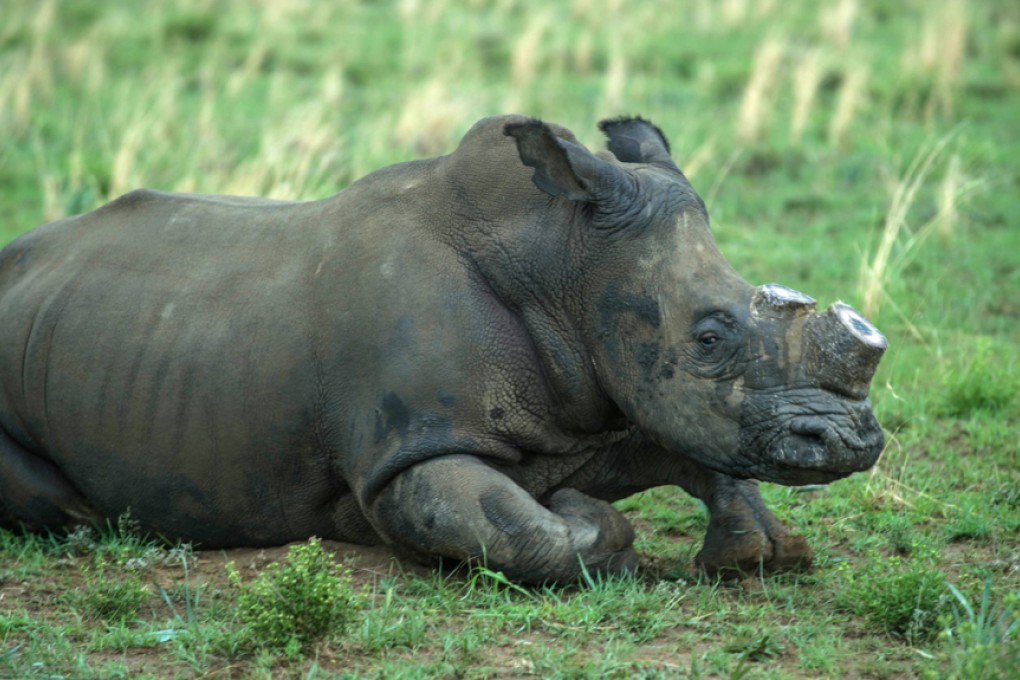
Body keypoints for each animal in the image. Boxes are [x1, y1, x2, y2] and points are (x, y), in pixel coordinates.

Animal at [0, 115, 886, 582]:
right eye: (708, 337)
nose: (854, 442)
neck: (564, 265)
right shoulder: (411, 450)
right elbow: (530, 534)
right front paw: (593, 521)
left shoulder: (582, 406)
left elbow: (687, 445)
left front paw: (756, 552)